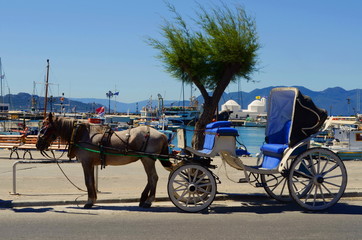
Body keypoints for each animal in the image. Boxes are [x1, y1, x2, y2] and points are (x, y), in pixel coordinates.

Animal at [36, 112, 175, 208]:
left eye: (45, 127)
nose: (38, 145)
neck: (80, 134)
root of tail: (162, 134)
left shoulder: (86, 163)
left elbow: (87, 181)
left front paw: (89, 201)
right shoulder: (91, 164)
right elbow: (92, 181)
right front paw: (93, 199)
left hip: (148, 159)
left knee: (153, 178)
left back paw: (148, 201)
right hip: (145, 159)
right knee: (150, 178)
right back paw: (143, 199)